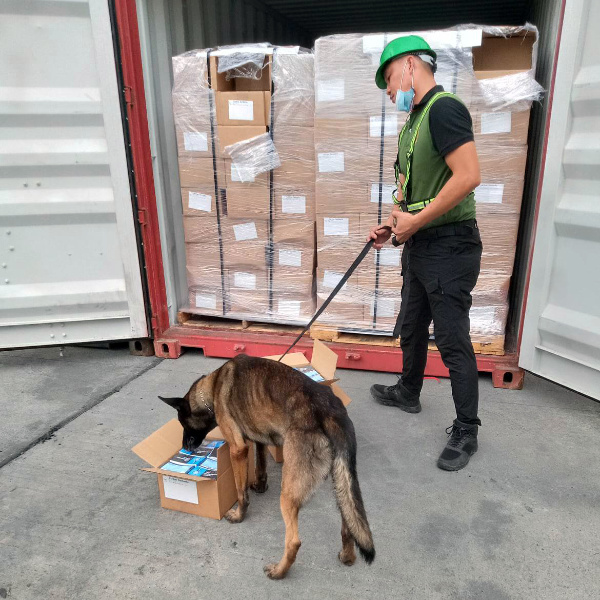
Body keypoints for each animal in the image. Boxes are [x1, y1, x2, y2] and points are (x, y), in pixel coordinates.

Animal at [159, 354, 376, 580]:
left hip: (289, 493)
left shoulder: (238, 450)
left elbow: (241, 493)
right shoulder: (259, 438)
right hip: (341, 485)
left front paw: (239, 515)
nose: (185, 447)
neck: (214, 385)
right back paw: (347, 555)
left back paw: (279, 571)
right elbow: (260, 465)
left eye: (183, 422)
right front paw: (260, 485)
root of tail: (330, 411)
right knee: (347, 522)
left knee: (294, 541)